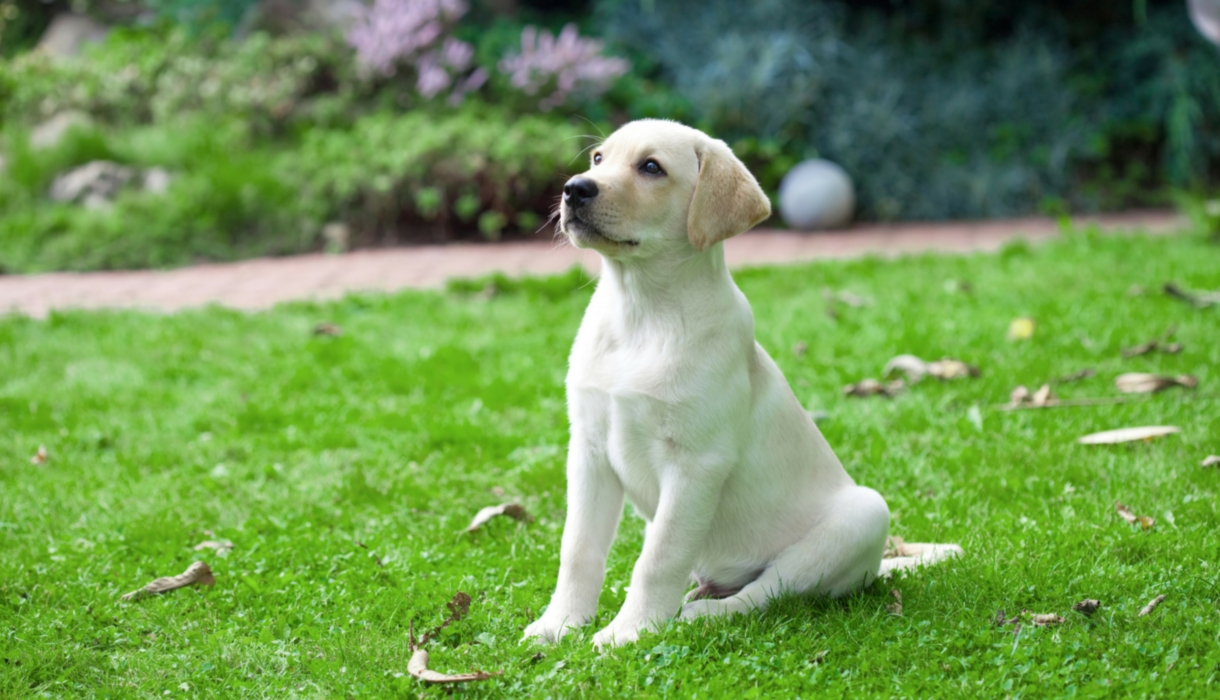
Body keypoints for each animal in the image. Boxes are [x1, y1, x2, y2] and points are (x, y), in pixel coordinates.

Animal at [524, 118, 961, 648]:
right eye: (598, 159)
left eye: (651, 167)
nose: (574, 189)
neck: (642, 314)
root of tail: (879, 567)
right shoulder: (589, 450)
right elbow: (578, 549)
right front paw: (560, 623)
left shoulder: (696, 463)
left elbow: (659, 558)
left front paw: (630, 632)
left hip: (861, 518)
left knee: (766, 593)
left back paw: (701, 613)